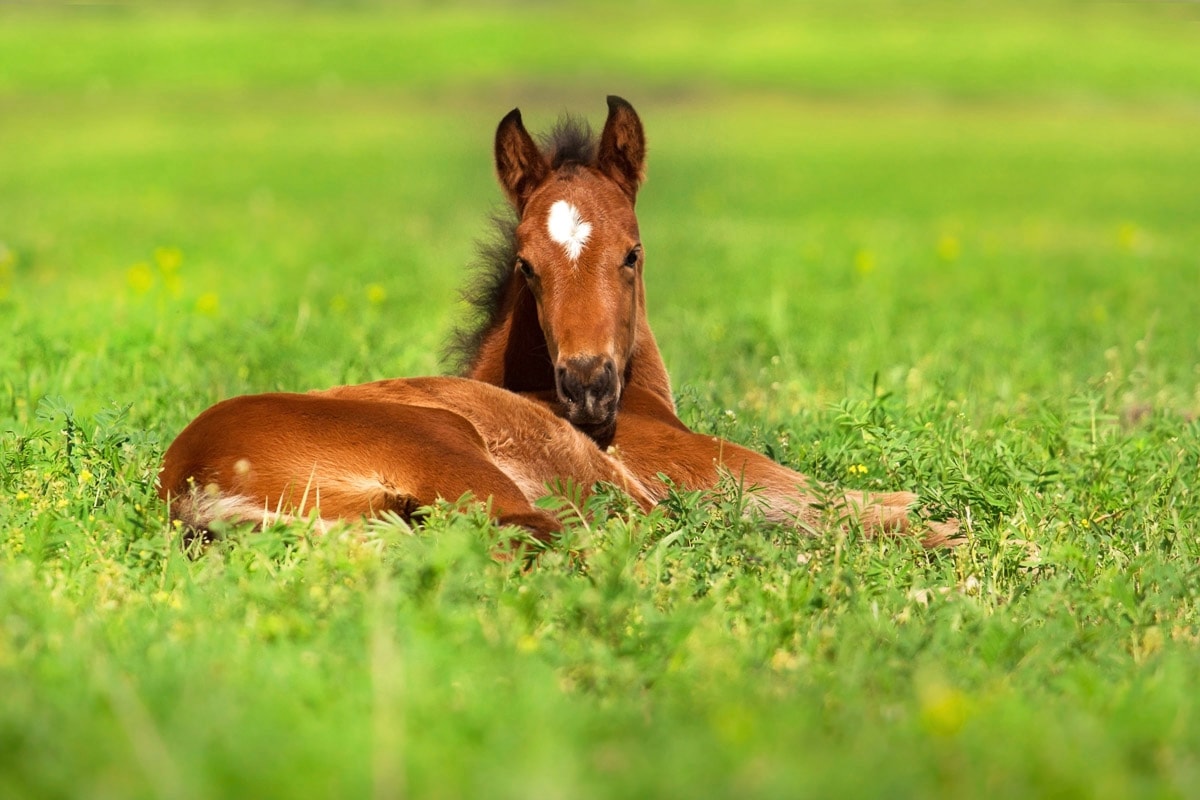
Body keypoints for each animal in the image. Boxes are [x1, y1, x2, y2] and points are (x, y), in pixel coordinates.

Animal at [158, 96, 959, 547]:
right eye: (526, 265)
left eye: (632, 253)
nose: (588, 388)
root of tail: (192, 481)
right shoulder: (711, 467)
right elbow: (830, 500)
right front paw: (938, 527)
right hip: (452, 452)